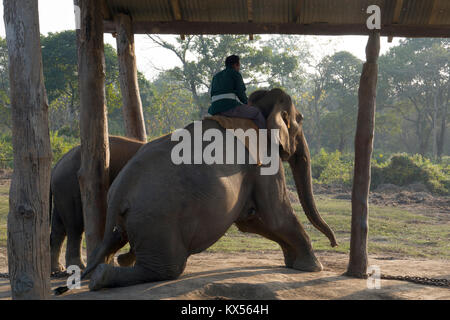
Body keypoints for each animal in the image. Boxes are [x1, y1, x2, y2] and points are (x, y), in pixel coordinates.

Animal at [50, 135, 144, 272]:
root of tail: (57, 164)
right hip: (70, 186)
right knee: (76, 226)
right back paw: (78, 267)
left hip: (62, 191)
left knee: (59, 227)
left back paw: (57, 269)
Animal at [79, 87, 336, 290]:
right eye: (300, 119)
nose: (334, 243)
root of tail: (119, 190)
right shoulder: (264, 162)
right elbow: (276, 215)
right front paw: (312, 267)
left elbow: (249, 220)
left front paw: (293, 263)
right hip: (158, 220)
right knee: (167, 268)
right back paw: (102, 276)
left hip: (136, 220)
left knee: (116, 242)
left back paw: (103, 271)